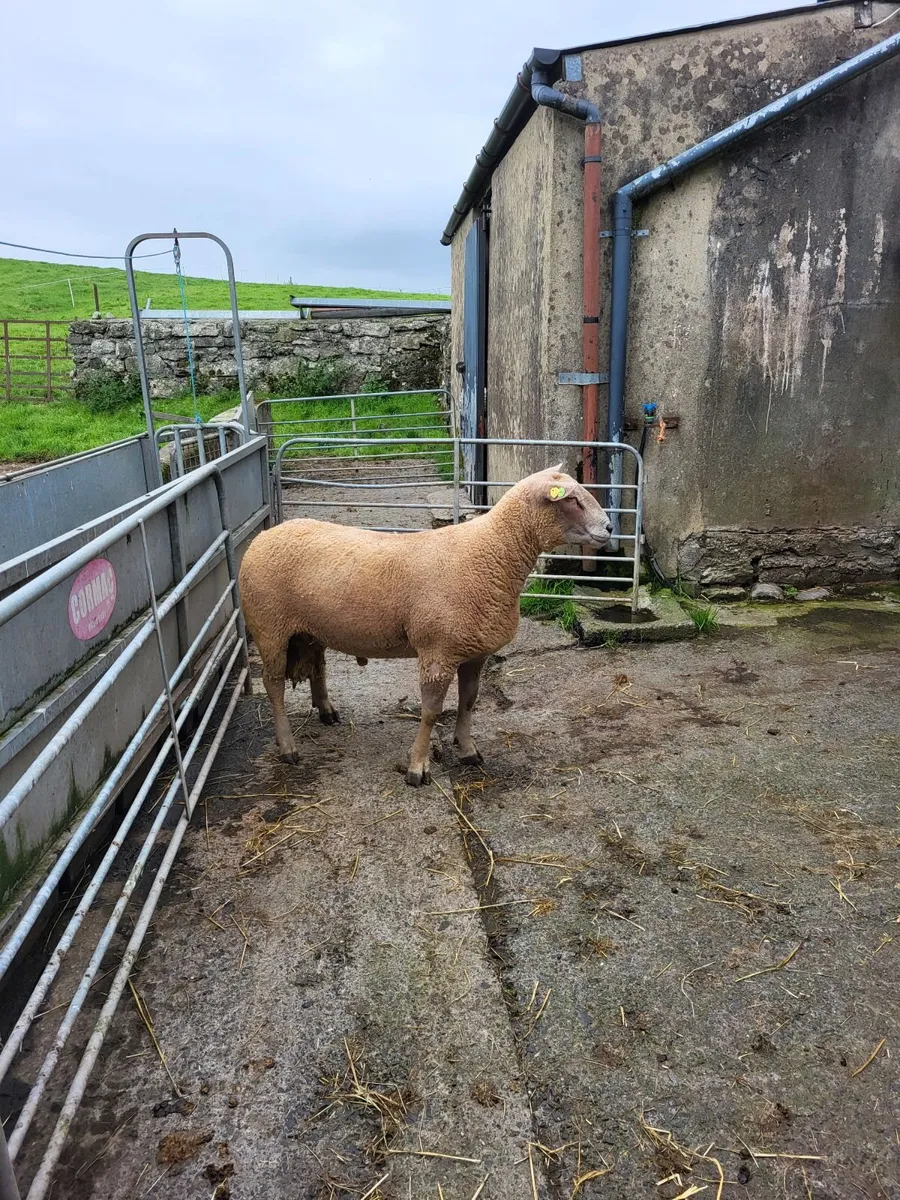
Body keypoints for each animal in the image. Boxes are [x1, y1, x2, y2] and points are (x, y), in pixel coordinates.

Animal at [238, 464, 611, 785]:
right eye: (572, 500)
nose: (609, 528)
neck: (492, 553)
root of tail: (264, 536)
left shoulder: (474, 650)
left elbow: (469, 700)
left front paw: (467, 750)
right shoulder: (438, 649)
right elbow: (431, 712)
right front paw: (417, 767)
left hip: (310, 629)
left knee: (317, 666)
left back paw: (326, 710)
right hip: (269, 627)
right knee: (273, 686)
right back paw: (288, 748)